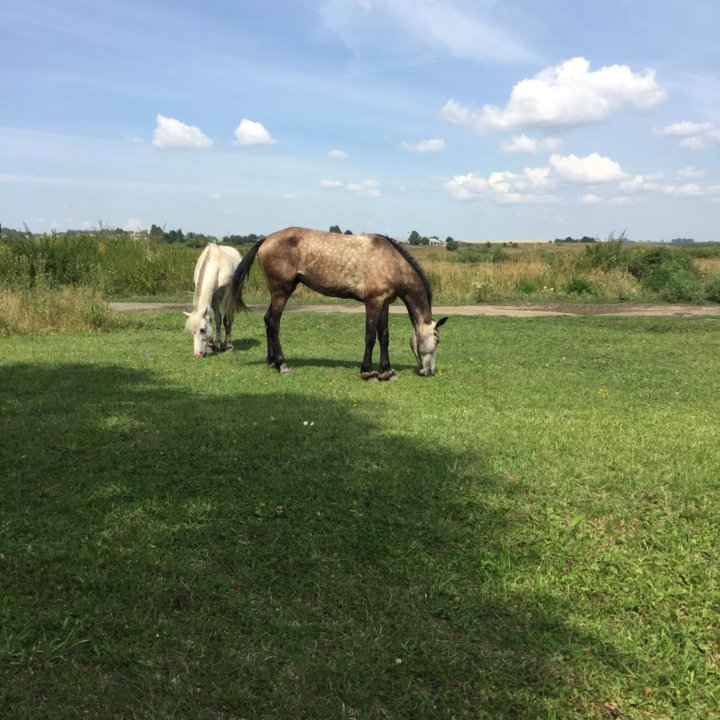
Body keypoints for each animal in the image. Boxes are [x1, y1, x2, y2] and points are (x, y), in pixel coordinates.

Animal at [222, 228, 448, 380]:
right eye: (437, 340)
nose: (429, 371)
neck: (391, 262)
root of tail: (266, 239)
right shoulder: (373, 302)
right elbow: (370, 337)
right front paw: (368, 372)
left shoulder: (384, 303)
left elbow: (384, 336)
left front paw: (387, 371)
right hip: (281, 291)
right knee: (273, 322)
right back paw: (282, 364)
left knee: (268, 321)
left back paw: (271, 361)